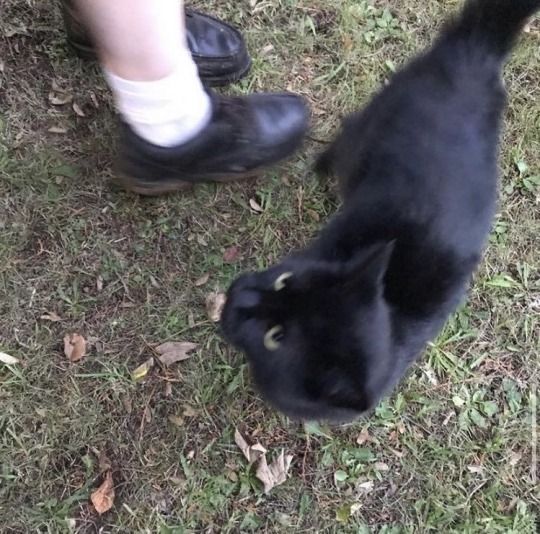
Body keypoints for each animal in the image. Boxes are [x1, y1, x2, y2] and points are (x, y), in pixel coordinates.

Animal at [219, 0, 540, 422]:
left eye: (276, 338)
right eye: (283, 281)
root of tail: (477, 52)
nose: (241, 296)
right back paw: (320, 169)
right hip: (367, 130)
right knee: (344, 138)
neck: (392, 316)